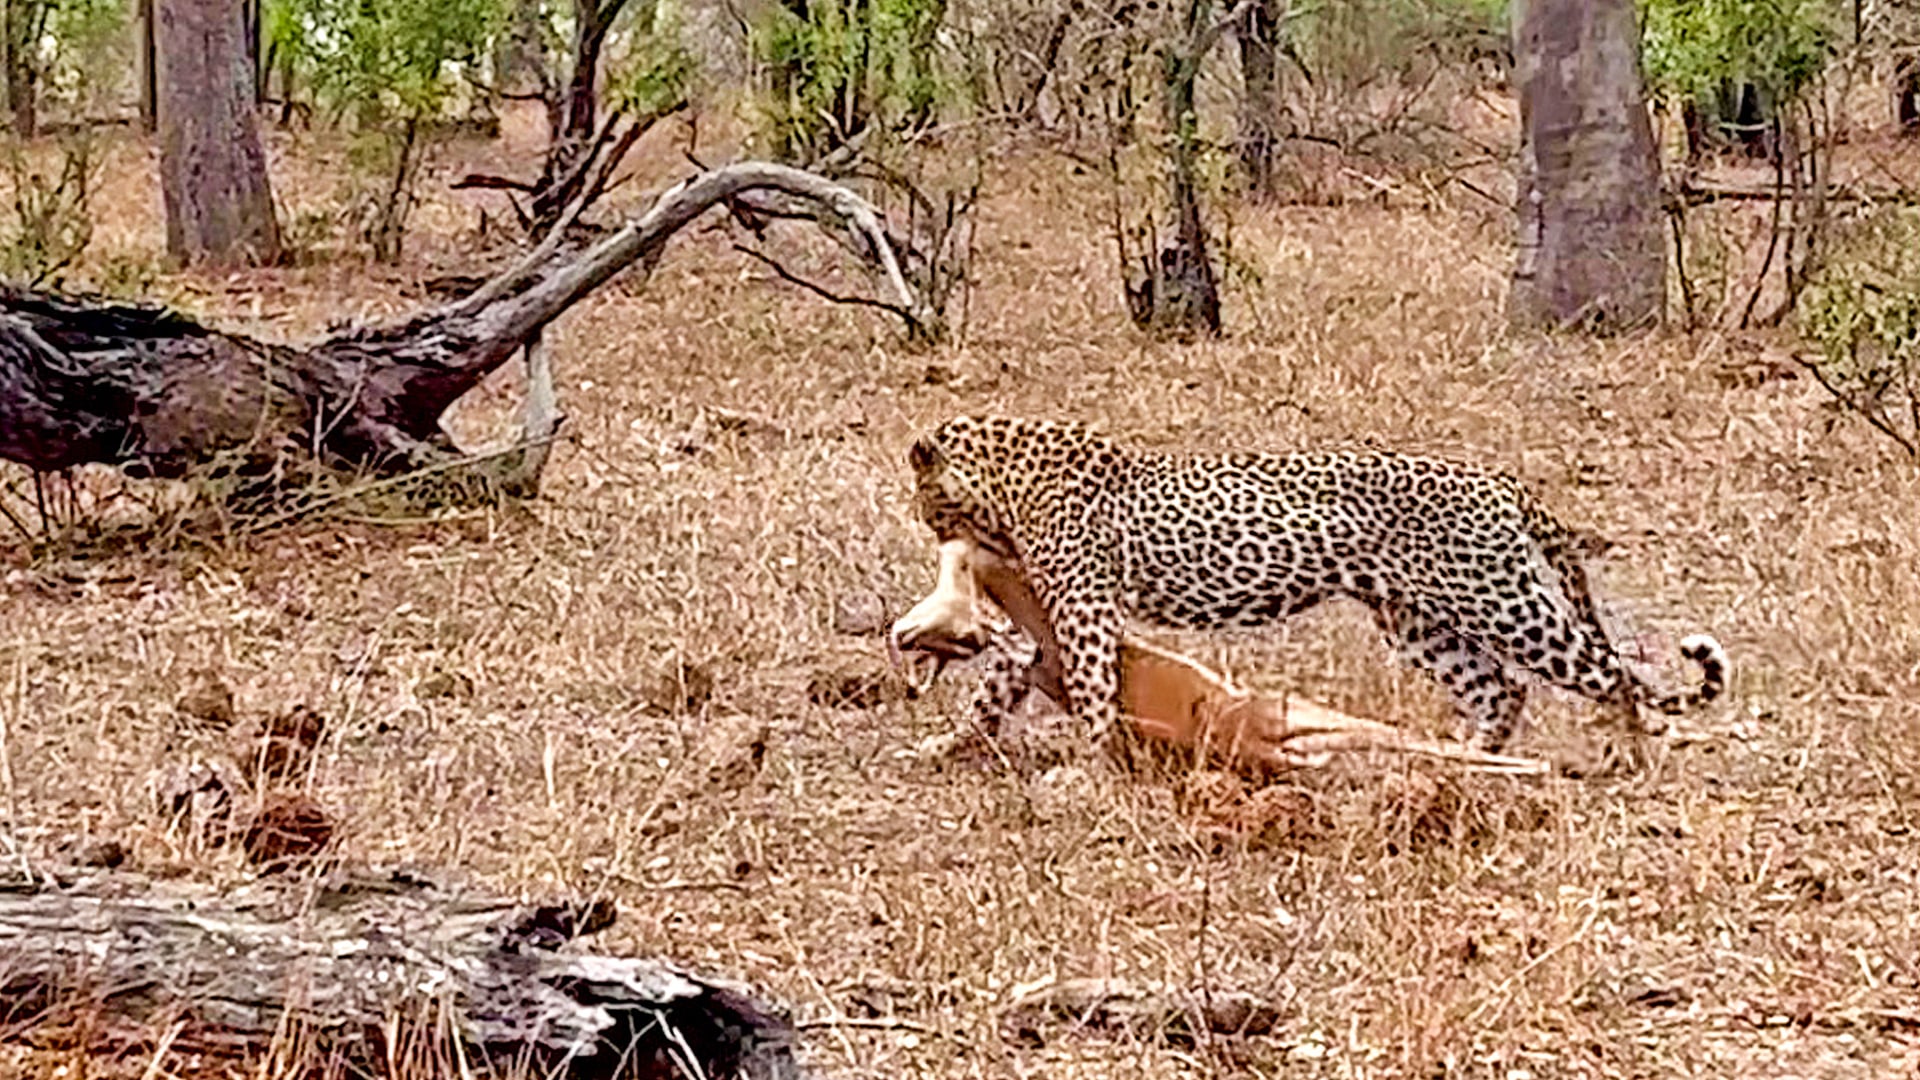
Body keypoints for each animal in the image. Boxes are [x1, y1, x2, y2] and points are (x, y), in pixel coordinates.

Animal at [904, 414, 1728, 759]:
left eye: (928, 505)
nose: (932, 530)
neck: (1008, 473)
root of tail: (1505, 483)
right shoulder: (1045, 617)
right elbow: (999, 684)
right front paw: (950, 745)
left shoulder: (1081, 609)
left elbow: (1094, 686)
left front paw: (1092, 761)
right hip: (1417, 619)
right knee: (1501, 689)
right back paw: (1465, 758)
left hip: (1501, 600)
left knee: (1611, 673)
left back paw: (1625, 759)